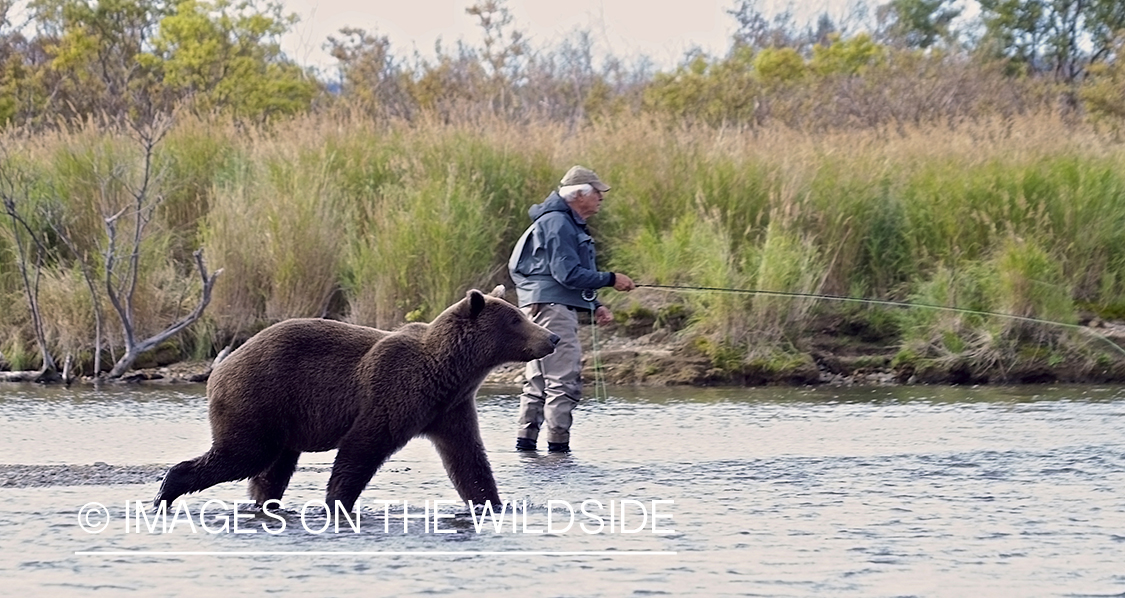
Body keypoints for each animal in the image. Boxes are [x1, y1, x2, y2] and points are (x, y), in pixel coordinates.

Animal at [153, 286, 559, 512]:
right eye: (516, 320)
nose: (551, 337)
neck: (447, 370)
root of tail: (219, 368)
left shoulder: (448, 408)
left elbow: (468, 460)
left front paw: (493, 503)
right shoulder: (394, 393)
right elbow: (361, 448)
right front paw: (337, 503)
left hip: (282, 422)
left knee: (271, 472)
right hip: (258, 400)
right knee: (244, 455)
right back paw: (166, 492)